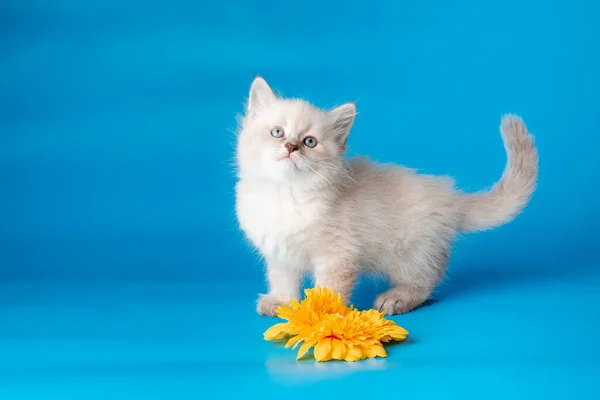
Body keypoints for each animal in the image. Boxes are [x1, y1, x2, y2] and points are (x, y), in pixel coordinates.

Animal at [234, 77, 540, 316]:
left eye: (310, 142)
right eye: (277, 132)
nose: (291, 147)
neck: (285, 193)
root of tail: (450, 198)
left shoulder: (337, 256)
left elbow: (330, 290)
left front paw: (322, 318)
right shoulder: (279, 252)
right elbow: (282, 280)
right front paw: (280, 303)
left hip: (407, 253)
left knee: (426, 278)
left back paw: (396, 298)